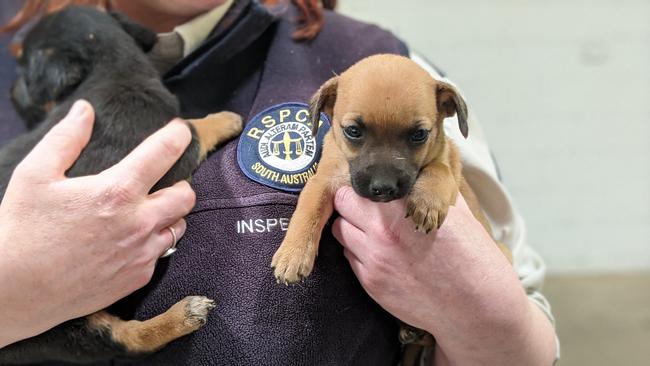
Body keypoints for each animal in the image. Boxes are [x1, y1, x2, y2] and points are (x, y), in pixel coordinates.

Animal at [0, 5, 243, 364]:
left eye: (23, 71)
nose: (10, 90)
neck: (111, 70)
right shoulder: (178, 143)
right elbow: (192, 127)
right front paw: (225, 119)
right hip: (57, 322)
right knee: (126, 341)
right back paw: (182, 316)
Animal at [268, 53, 512, 360]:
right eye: (353, 131)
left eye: (419, 135)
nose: (383, 188)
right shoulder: (322, 183)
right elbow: (307, 212)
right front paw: (292, 255)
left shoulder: (447, 164)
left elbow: (438, 171)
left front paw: (427, 204)